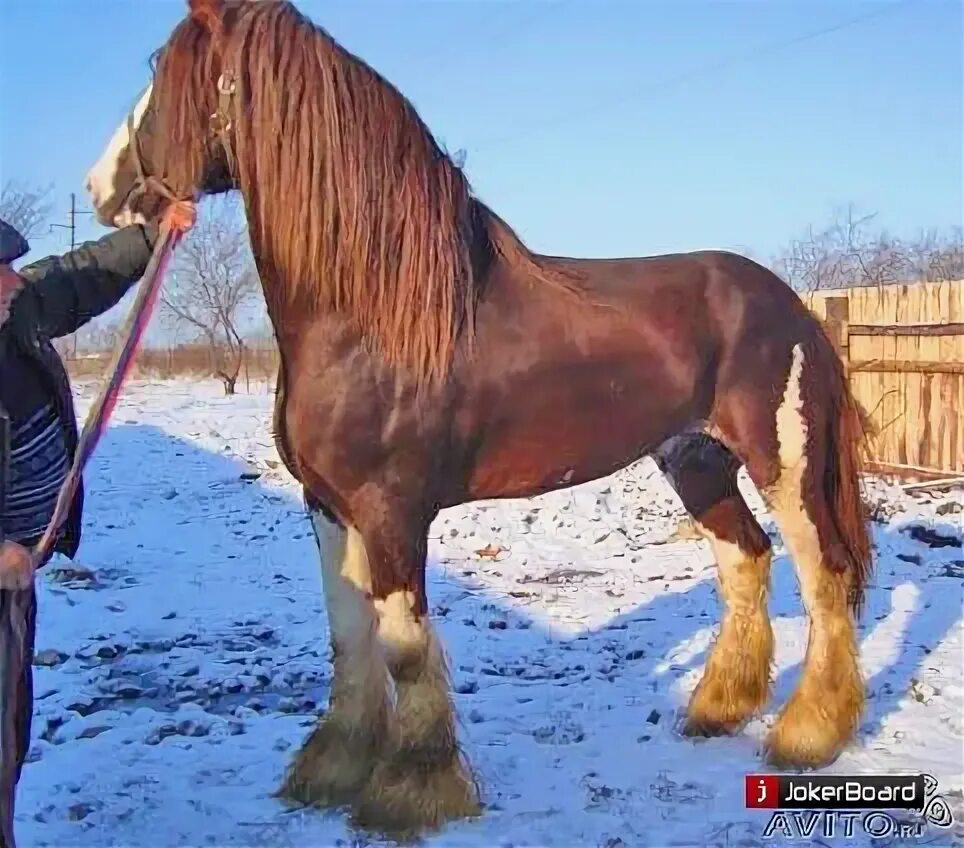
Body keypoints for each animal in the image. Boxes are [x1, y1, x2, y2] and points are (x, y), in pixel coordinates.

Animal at [86, 0, 872, 836]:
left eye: (161, 67)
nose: (101, 187)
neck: (369, 313)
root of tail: (789, 302)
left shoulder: (393, 511)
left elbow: (402, 646)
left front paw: (413, 791)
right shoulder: (326, 506)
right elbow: (348, 637)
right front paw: (333, 768)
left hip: (782, 461)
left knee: (823, 573)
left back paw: (806, 735)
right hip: (695, 459)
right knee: (745, 559)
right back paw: (718, 710)